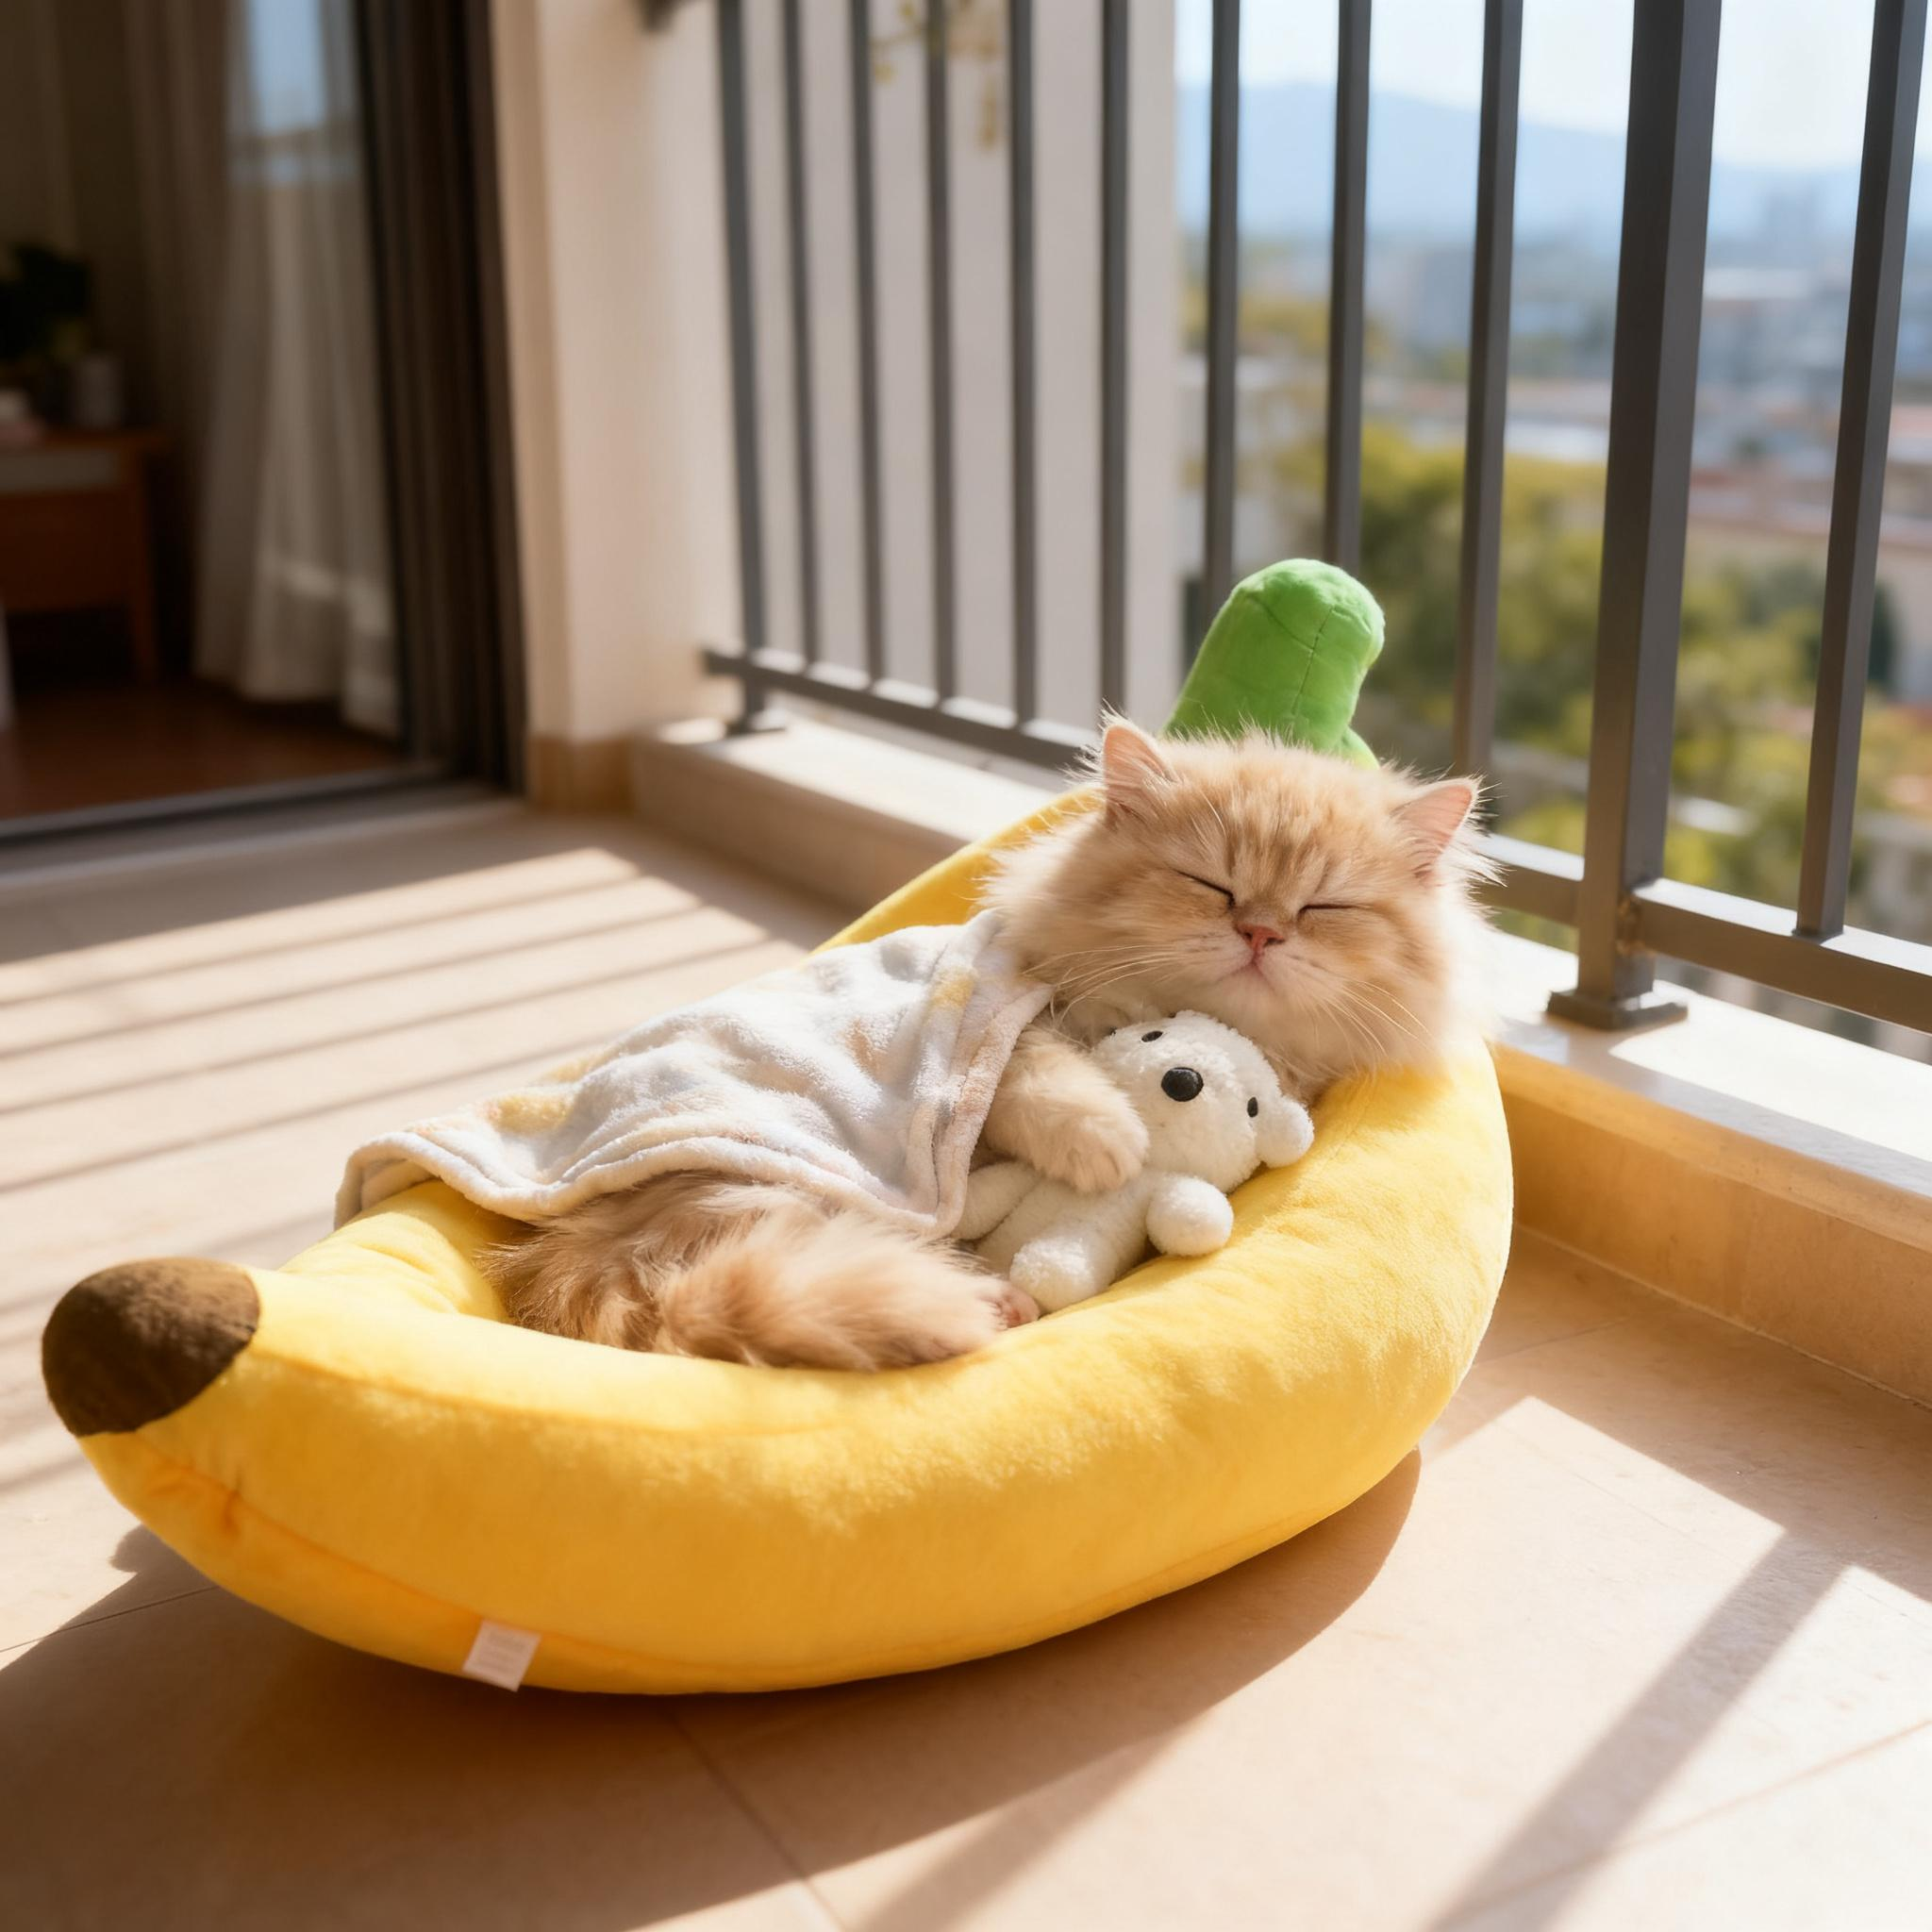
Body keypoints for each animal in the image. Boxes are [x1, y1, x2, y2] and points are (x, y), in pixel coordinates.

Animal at [486, 720, 1487, 1369]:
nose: (1261, 933)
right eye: (1210, 884)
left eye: (1325, 906)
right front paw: (1113, 1144)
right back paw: (991, 1304)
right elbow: (1056, 1089)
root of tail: (576, 1258)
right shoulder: (1007, 1028)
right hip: (780, 1187)